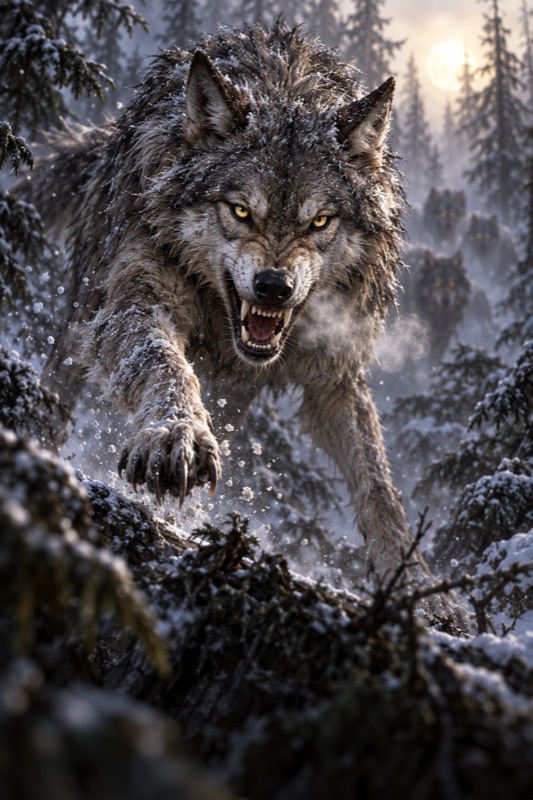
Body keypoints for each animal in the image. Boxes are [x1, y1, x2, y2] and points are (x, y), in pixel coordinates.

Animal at [21, 22, 466, 625]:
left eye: (319, 221)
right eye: (240, 211)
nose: (274, 287)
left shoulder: (337, 374)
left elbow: (377, 482)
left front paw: (420, 586)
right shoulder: (137, 301)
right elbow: (163, 365)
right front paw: (175, 435)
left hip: (235, 394)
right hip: (82, 315)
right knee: (59, 387)